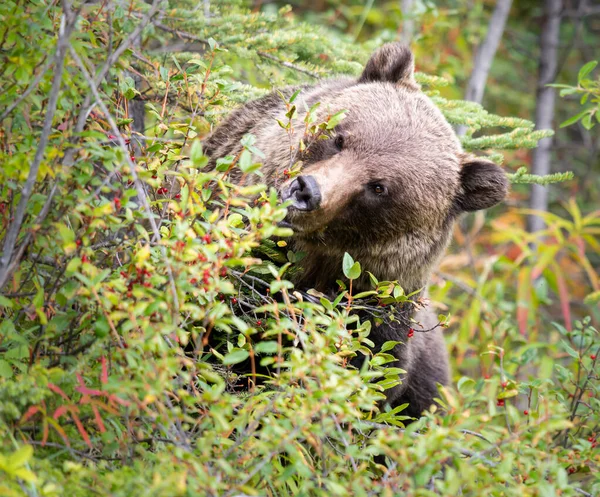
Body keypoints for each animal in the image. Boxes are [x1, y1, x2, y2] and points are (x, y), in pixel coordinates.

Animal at [204, 44, 508, 418]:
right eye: (339, 138)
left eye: (378, 187)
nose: (305, 192)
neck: (316, 260)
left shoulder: (383, 318)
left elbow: (370, 378)